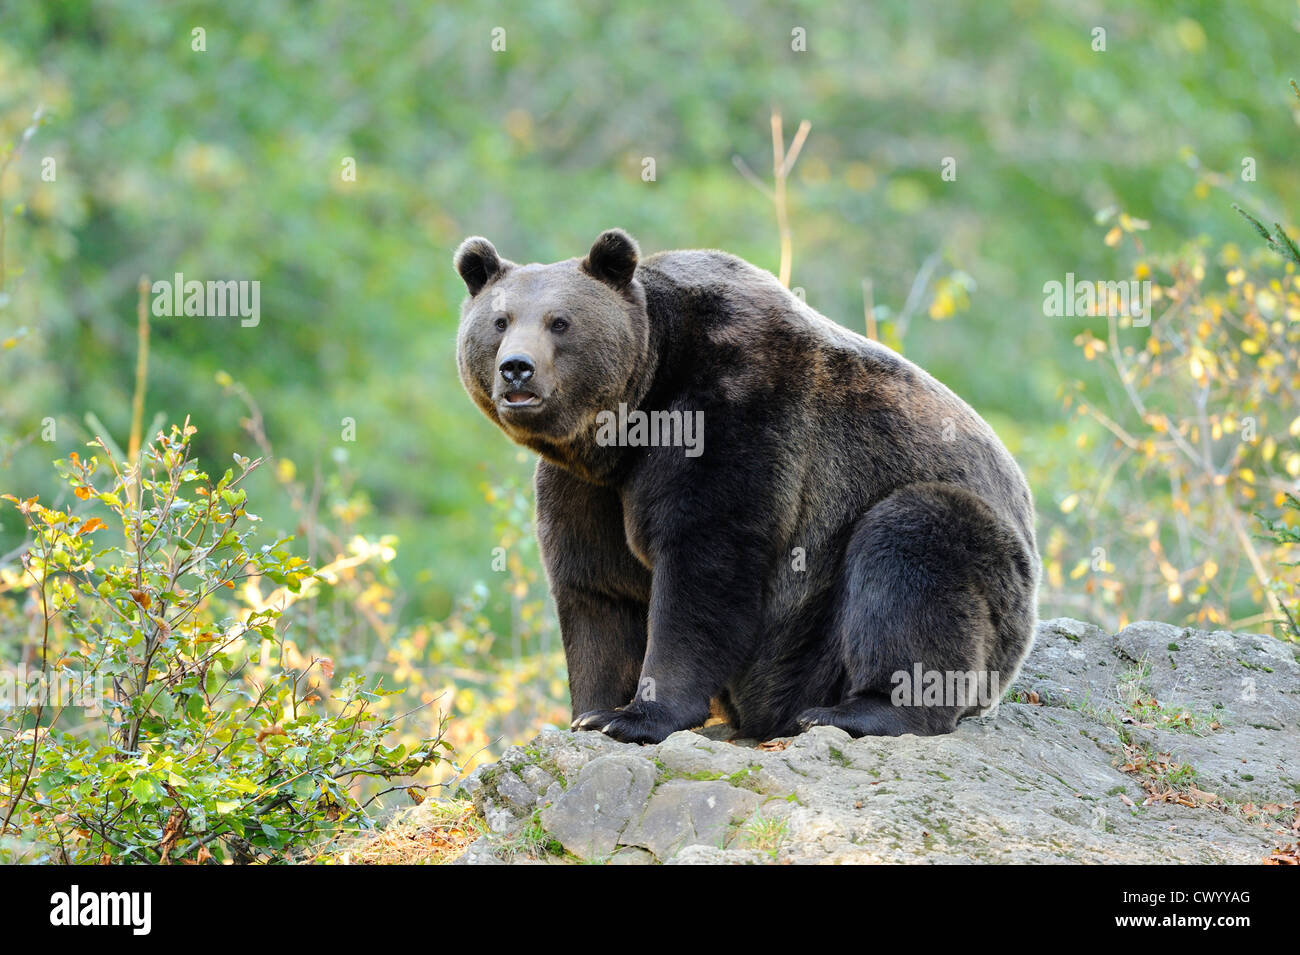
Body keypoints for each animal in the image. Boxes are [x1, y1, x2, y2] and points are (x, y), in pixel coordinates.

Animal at [454, 228, 1039, 744]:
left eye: (560, 322)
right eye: (500, 321)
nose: (516, 369)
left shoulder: (736, 409)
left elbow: (705, 561)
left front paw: (639, 716)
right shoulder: (588, 482)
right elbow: (597, 585)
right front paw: (591, 712)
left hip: (891, 605)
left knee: (915, 546)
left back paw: (859, 711)